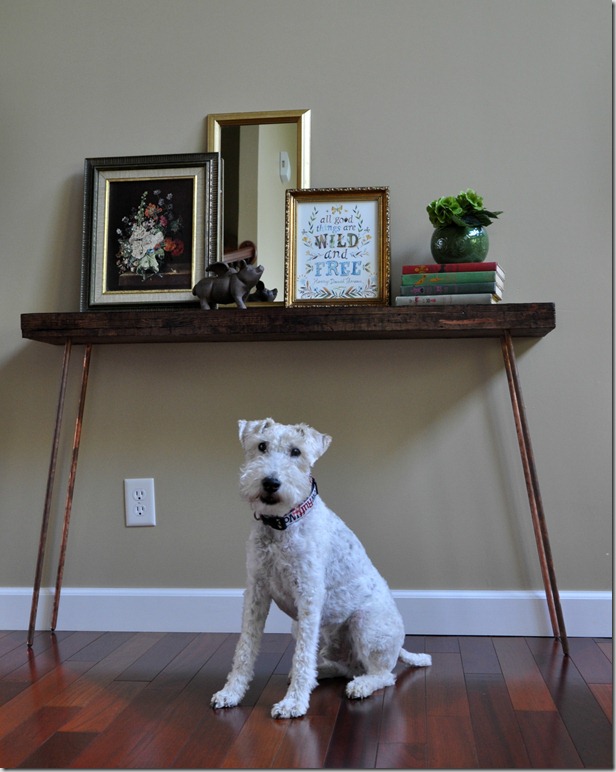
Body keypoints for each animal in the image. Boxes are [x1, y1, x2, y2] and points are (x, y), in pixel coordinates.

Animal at [209, 420, 430, 720]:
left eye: (296, 451)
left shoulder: (309, 595)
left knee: (383, 674)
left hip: (366, 625)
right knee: (342, 665)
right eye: (261, 446)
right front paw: (230, 693)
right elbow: (245, 648)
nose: (270, 482)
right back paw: (320, 674)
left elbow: (302, 655)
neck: (284, 523)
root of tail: (399, 647)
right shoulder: (256, 591)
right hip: (316, 631)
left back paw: (359, 686)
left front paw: (292, 704)